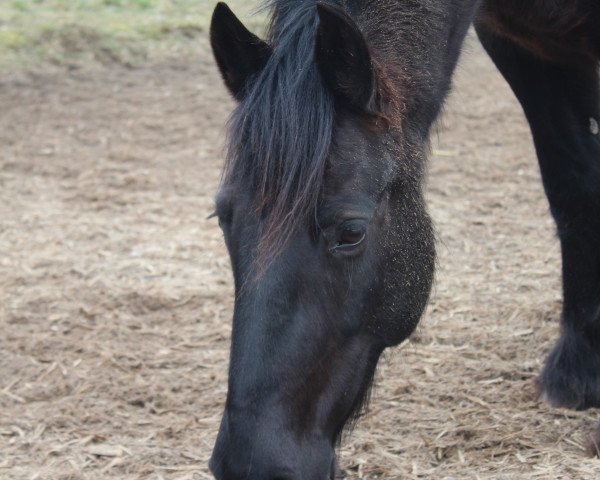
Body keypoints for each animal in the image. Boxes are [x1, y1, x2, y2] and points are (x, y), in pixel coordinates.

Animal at [207, 1, 600, 478]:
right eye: (223, 217)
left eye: (352, 232)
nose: (251, 463)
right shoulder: (527, 49)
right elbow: (574, 184)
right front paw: (579, 369)